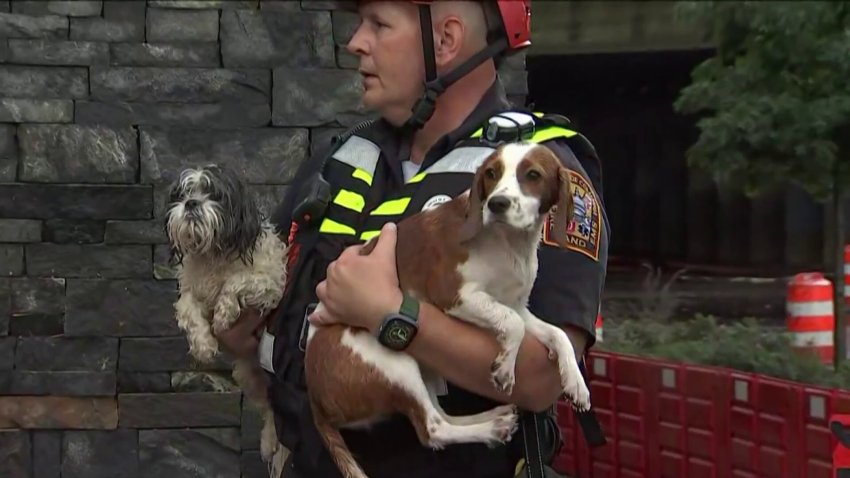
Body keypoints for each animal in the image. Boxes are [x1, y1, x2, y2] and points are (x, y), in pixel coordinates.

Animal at [304, 142, 588, 478]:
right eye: (491, 174)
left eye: (533, 175)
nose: (497, 204)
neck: (509, 244)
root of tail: (316, 401)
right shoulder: (453, 295)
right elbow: (512, 325)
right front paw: (506, 367)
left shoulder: (517, 305)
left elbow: (557, 334)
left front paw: (575, 382)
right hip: (391, 362)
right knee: (432, 429)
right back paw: (489, 427)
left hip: (423, 366)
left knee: (441, 414)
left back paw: (493, 420)